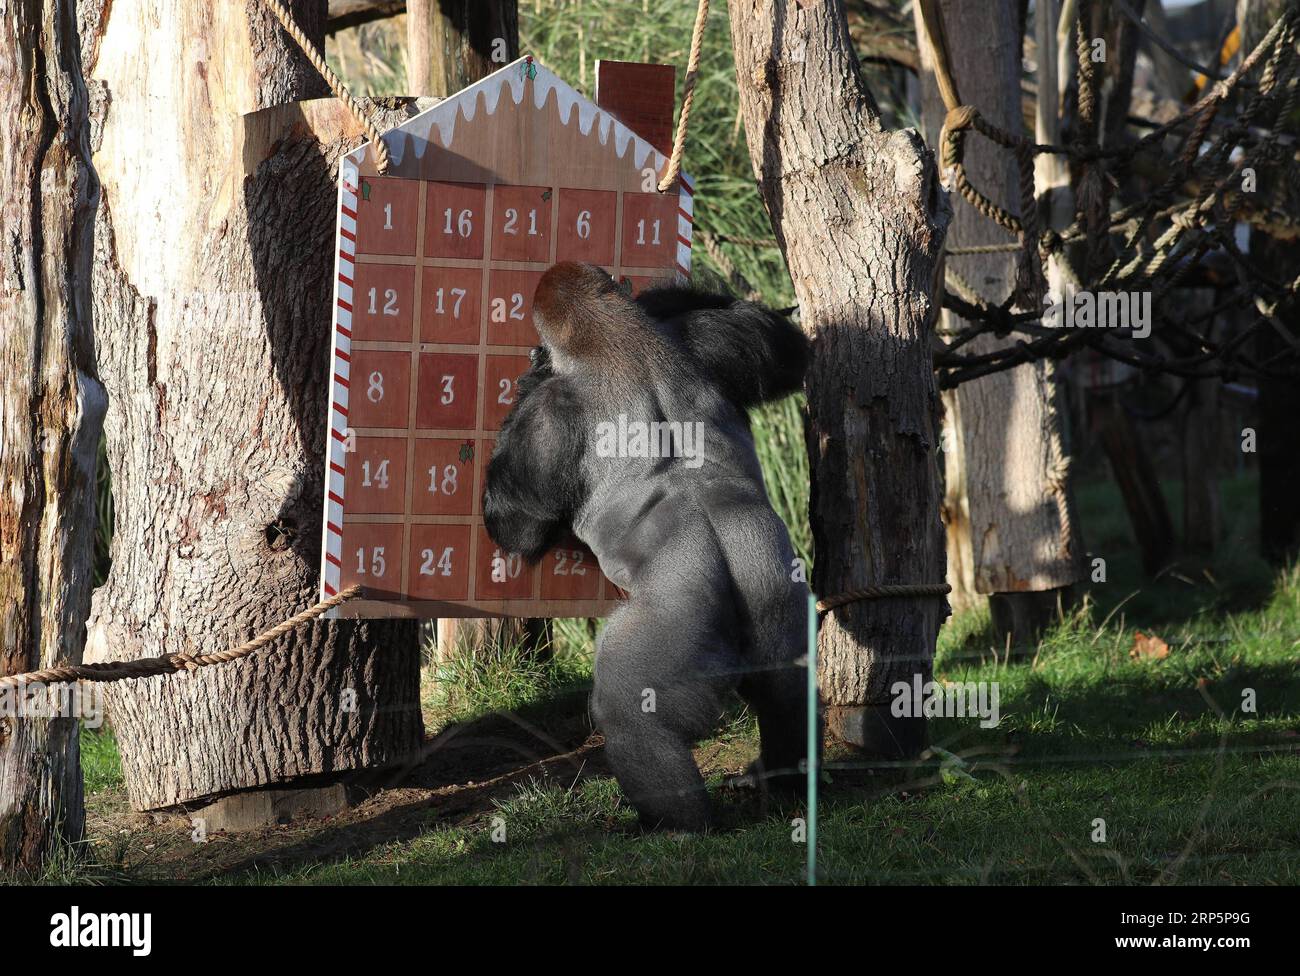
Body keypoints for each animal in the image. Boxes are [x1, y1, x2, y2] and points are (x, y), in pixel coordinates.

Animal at [483, 261, 816, 831]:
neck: (611, 338)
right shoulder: (703, 341)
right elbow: (785, 348)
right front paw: (659, 295)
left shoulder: (548, 415)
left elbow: (516, 523)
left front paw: (532, 374)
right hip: (778, 582)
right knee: (786, 686)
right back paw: (787, 784)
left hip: (676, 618)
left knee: (631, 713)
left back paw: (676, 823)